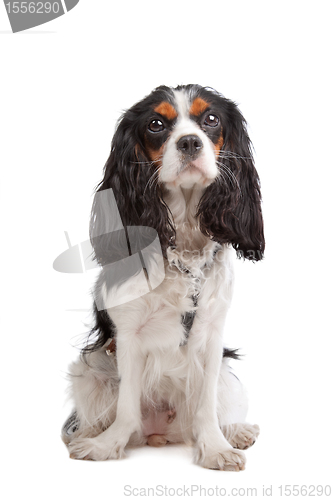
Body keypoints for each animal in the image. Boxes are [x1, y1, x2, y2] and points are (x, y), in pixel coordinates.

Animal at [61, 84, 264, 470]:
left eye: (211, 119)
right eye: (156, 124)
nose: (190, 142)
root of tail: (161, 433)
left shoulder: (212, 335)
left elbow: (205, 408)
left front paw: (214, 448)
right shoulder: (128, 335)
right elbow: (126, 407)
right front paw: (107, 446)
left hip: (226, 373)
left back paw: (236, 431)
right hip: (91, 365)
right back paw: (88, 435)